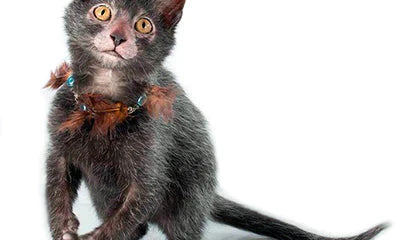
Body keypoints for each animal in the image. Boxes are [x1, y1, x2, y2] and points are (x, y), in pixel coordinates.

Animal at [45, 0, 386, 240]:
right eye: (102, 11)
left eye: (143, 25)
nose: (118, 36)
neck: (104, 106)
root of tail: (210, 194)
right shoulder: (58, 147)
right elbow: (55, 188)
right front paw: (62, 225)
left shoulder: (151, 162)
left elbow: (136, 206)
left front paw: (95, 237)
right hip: (104, 195)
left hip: (189, 198)